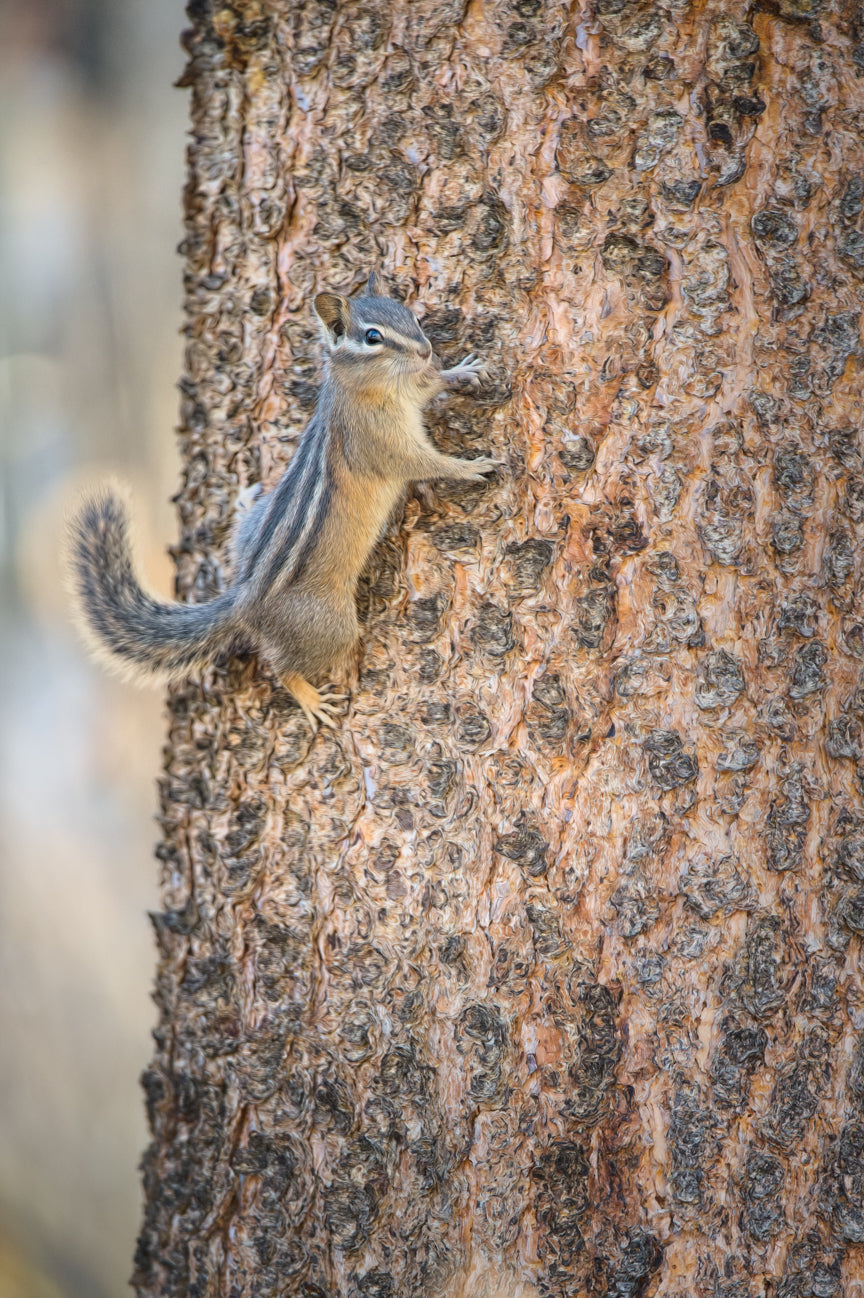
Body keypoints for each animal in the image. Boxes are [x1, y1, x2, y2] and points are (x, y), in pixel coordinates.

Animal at [68, 271, 496, 729]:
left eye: (411, 315)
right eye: (373, 337)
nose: (425, 349)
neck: (378, 386)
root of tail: (244, 597)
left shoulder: (413, 388)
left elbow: (431, 383)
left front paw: (461, 370)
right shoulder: (378, 442)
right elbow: (421, 463)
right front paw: (469, 466)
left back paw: (243, 506)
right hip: (329, 627)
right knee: (282, 666)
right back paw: (310, 699)